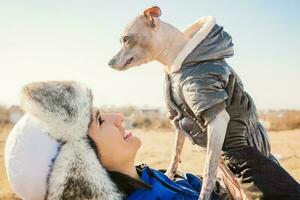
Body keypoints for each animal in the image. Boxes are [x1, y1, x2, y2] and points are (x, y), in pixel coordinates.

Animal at [108, 5, 272, 199]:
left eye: (126, 39)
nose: (109, 62)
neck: (177, 62)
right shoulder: (179, 117)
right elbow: (175, 154)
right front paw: (168, 176)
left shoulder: (217, 117)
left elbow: (209, 171)